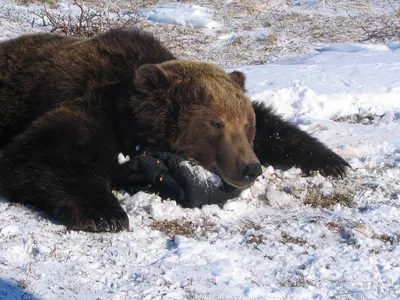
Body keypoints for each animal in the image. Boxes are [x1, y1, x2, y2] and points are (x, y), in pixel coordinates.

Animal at [0, 28, 350, 232]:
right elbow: (43, 153)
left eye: (245, 124)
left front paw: (332, 162)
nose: (250, 167)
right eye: (215, 123)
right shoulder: (98, 111)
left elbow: (276, 130)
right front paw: (107, 214)